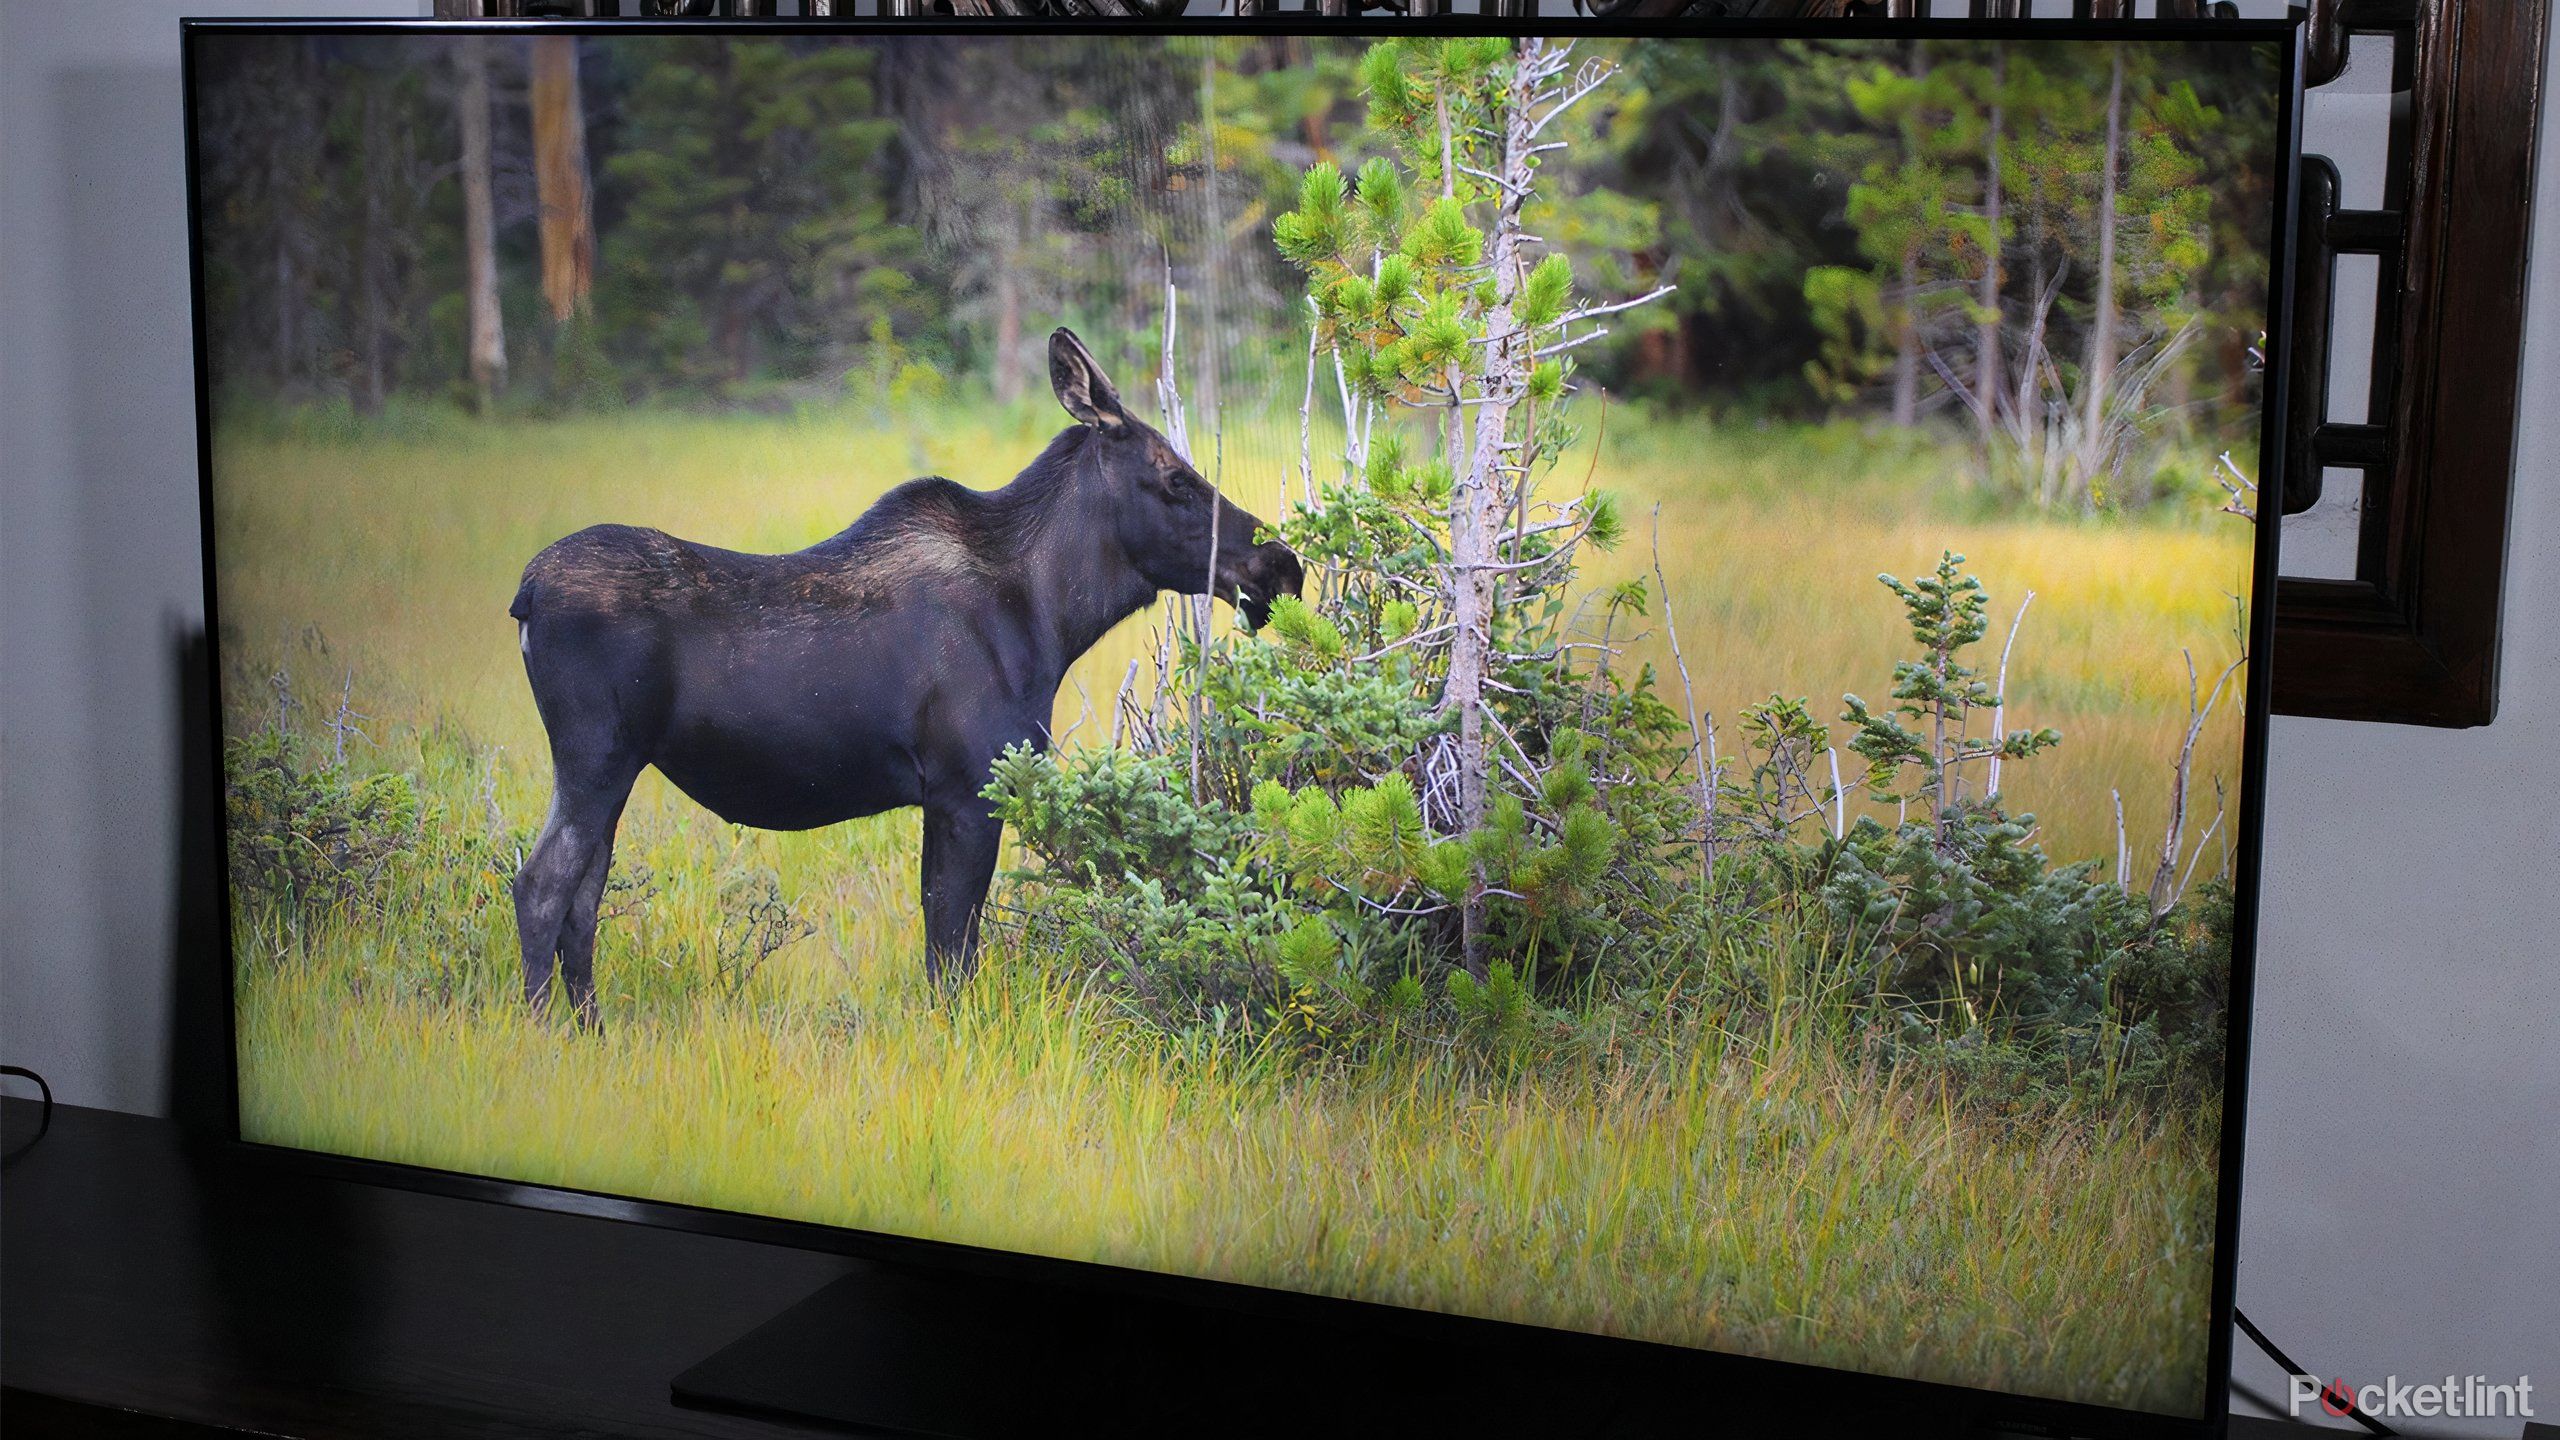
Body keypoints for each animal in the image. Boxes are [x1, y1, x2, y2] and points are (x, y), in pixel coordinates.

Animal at [506, 327, 1300, 1019]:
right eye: (1174, 478)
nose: (1281, 563)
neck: (1051, 616)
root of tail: (526, 593)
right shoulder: (967, 790)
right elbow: (952, 954)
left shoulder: (946, 799)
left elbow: (945, 945)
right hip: (595, 755)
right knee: (541, 886)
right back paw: (549, 1032)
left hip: (614, 768)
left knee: (583, 899)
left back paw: (592, 1029)